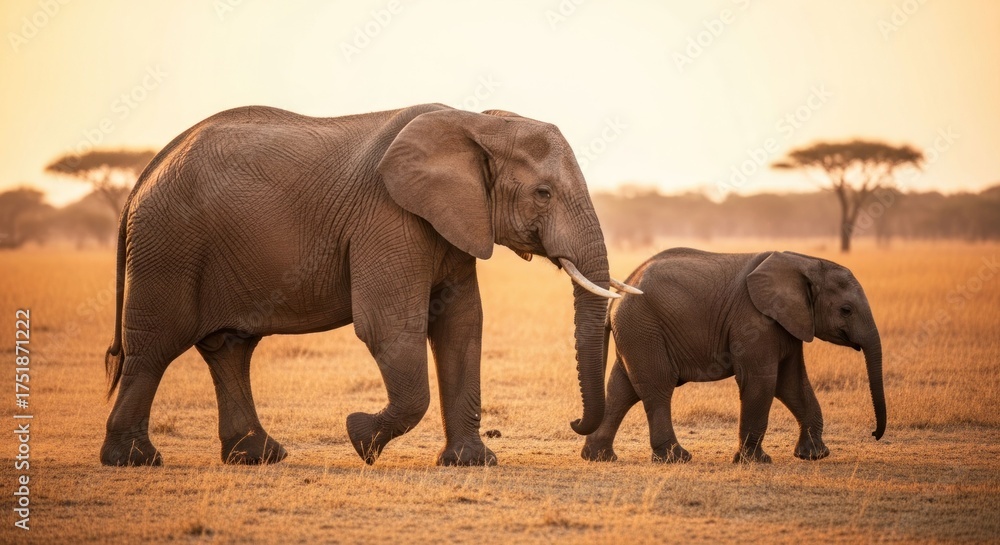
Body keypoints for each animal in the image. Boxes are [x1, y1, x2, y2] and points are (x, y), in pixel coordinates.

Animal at [100, 103, 641, 467]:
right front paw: (360, 437)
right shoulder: (388, 217)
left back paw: (259, 456)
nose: (574, 423)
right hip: (168, 246)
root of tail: (144, 176)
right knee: (154, 348)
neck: (476, 122)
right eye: (543, 193)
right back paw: (134, 460)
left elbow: (462, 326)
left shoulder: (453, 222)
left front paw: (472, 463)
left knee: (230, 348)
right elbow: (391, 328)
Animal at [582, 248, 886, 464]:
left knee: (623, 389)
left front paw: (813, 456)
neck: (804, 262)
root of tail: (617, 294)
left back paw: (599, 457)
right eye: (846, 310)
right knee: (658, 387)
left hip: (637, 332)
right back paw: (676, 459)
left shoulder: (789, 323)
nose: (874, 434)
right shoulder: (754, 320)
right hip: (644, 328)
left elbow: (792, 384)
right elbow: (761, 381)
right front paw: (756, 462)